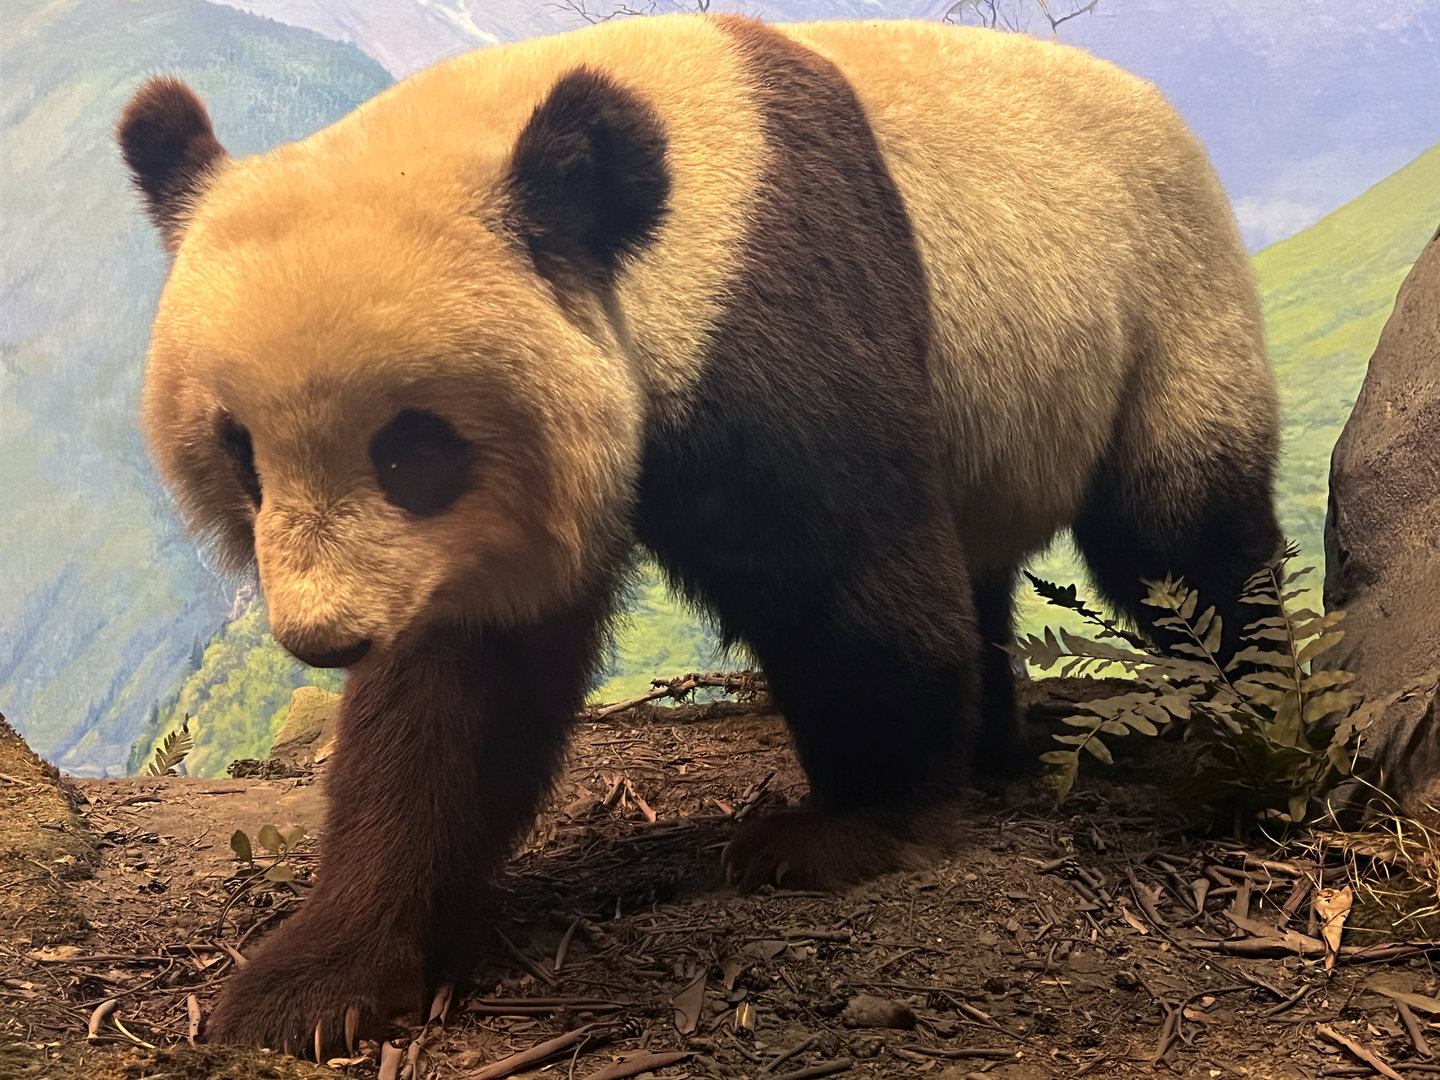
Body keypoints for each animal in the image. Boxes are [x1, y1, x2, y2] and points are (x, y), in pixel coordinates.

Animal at [118, 13, 1280, 1053]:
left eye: (410, 449)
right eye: (241, 451)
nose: (325, 638)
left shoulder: (763, 292)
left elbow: (848, 578)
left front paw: (846, 829)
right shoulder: (471, 544)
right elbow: (455, 698)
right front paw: (319, 983)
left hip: (1166, 291)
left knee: (1178, 536)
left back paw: (1249, 708)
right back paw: (996, 746)